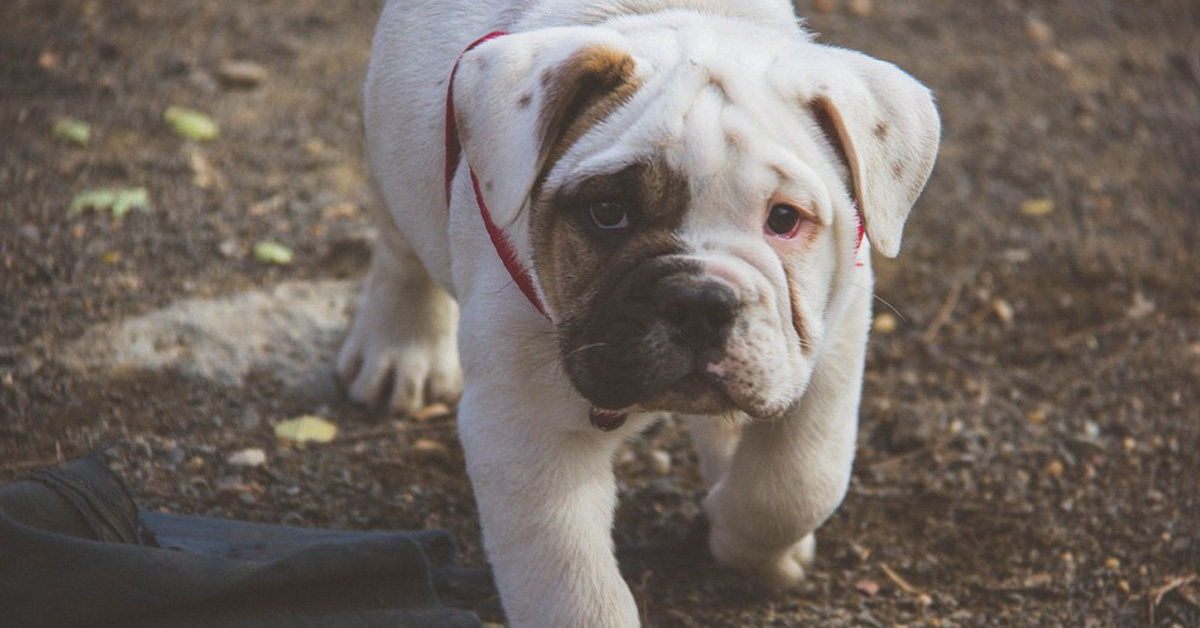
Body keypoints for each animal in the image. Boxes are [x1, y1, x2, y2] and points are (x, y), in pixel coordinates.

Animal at [336, 1, 936, 624]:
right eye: (607, 212)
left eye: (784, 219)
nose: (699, 300)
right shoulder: (526, 434)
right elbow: (573, 590)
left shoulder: (832, 341)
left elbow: (799, 481)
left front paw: (752, 546)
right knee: (401, 253)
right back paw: (399, 351)